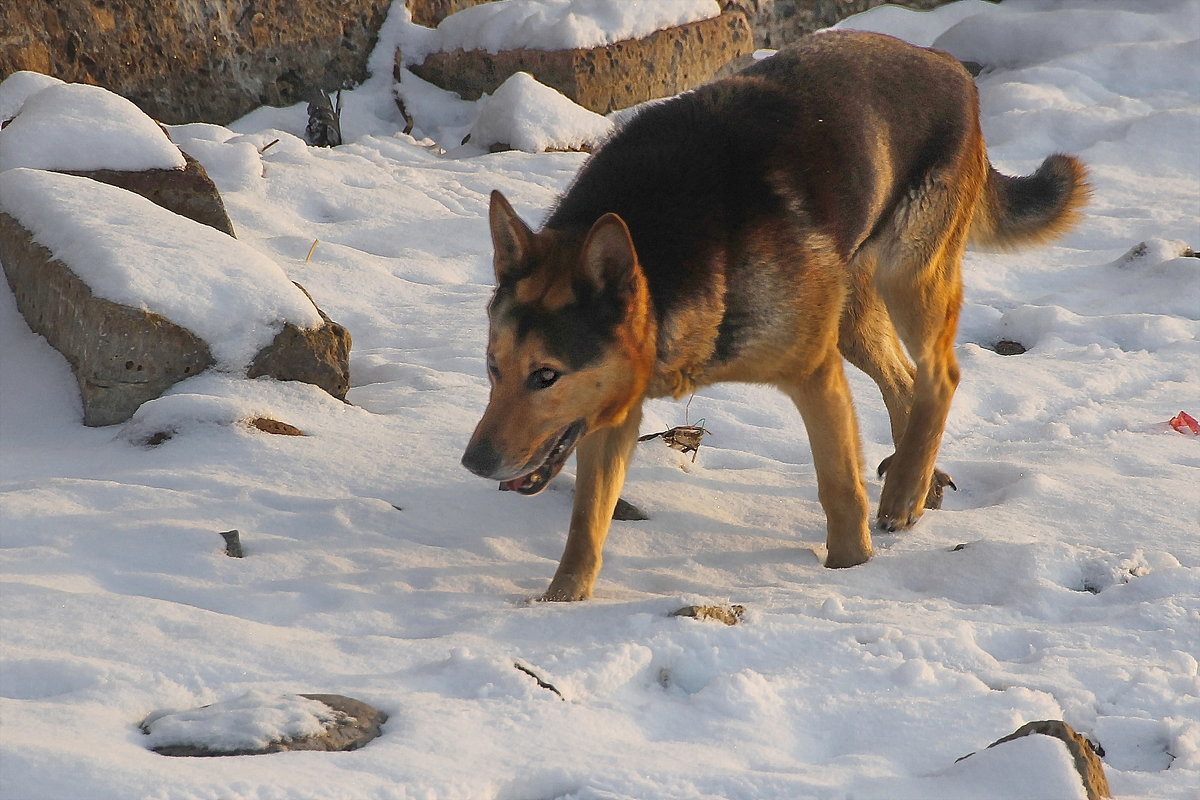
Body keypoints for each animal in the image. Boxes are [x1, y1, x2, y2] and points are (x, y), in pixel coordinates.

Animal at [458, 34, 1089, 604]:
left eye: (546, 376)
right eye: (492, 369)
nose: (473, 463)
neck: (667, 267)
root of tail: (950, 67)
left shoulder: (813, 373)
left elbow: (839, 489)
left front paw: (849, 574)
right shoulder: (613, 410)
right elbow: (587, 524)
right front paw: (561, 604)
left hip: (909, 278)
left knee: (940, 376)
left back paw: (905, 495)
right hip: (854, 316)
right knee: (906, 382)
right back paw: (919, 479)